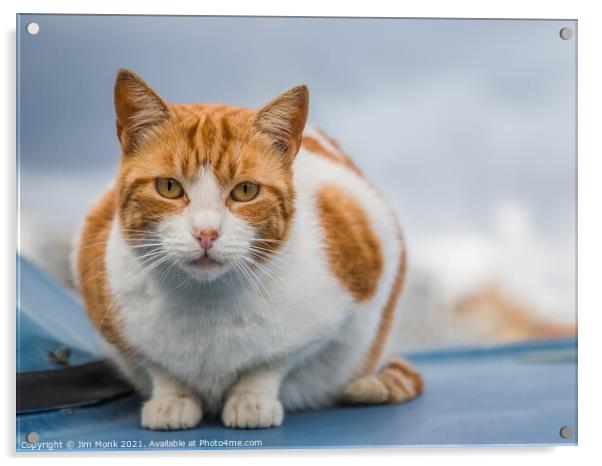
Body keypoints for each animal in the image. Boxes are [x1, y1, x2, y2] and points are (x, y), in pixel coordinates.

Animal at [75, 68, 422, 430]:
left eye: (244, 191)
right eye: (168, 187)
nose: (206, 233)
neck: (205, 303)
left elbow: (270, 364)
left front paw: (251, 400)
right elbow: (160, 367)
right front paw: (173, 398)